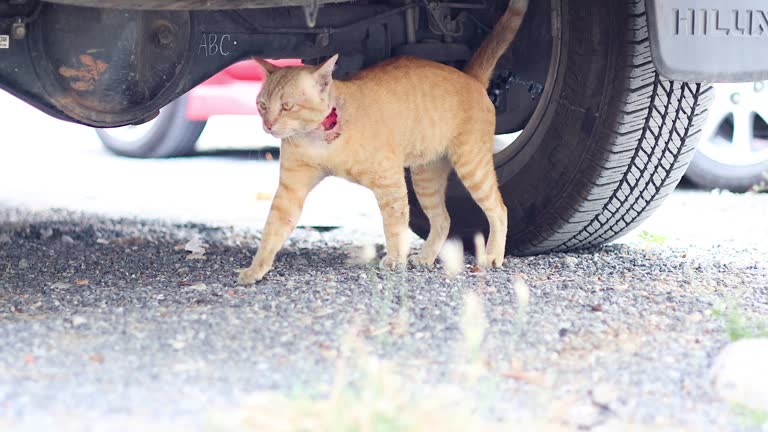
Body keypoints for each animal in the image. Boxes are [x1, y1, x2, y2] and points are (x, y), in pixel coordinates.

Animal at [240, 0, 528, 284]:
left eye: (287, 106)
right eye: (262, 105)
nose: (267, 125)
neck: (321, 140)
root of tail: (470, 77)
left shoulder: (390, 182)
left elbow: (394, 225)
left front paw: (395, 259)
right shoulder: (291, 189)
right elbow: (272, 229)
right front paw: (256, 269)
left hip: (472, 167)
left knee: (499, 209)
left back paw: (493, 255)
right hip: (425, 178)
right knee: (443, 219)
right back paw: (427, 257)